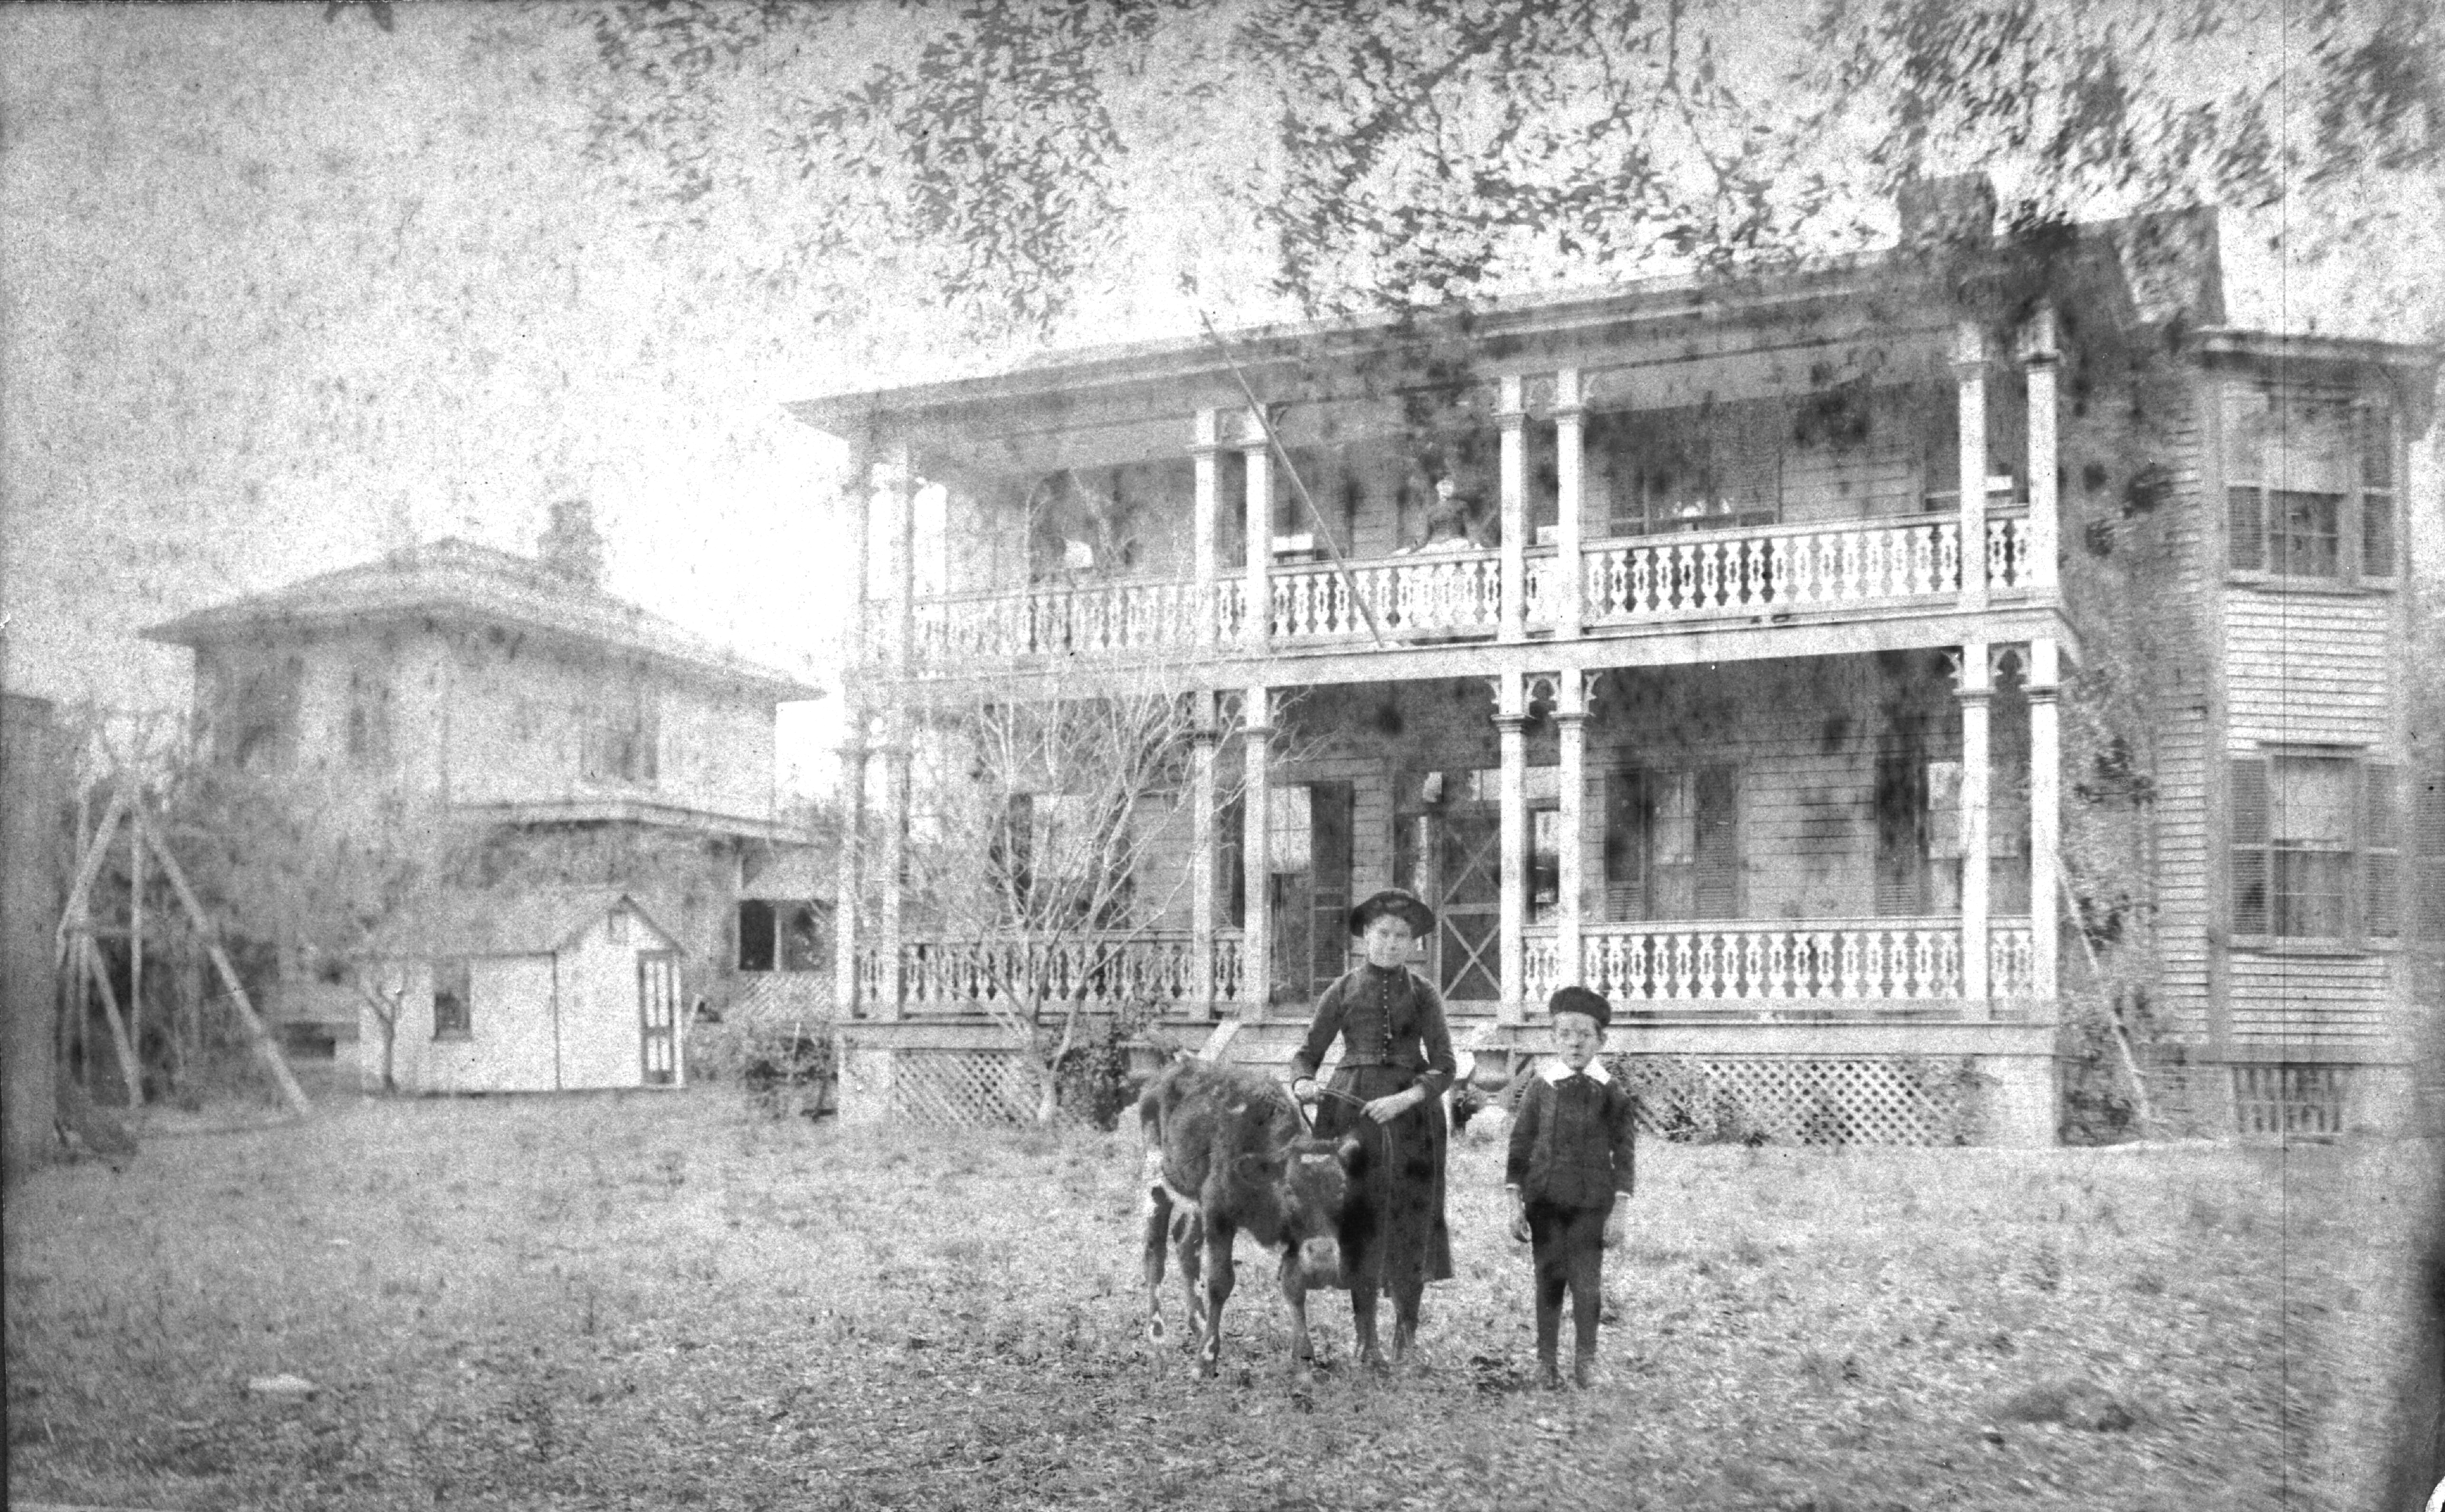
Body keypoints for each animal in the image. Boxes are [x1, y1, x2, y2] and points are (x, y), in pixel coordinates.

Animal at [1138, 1057, 1363, 1377]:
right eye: (1290, 1190)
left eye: (1342, 1189)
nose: (1322, 1256)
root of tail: (1160, 1077)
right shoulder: (1219, 1214)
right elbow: (1220, 1282)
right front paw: (1206, 1360)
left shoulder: (1291, 1236)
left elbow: (1294, 1285)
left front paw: (1304, 1360)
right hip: (1157, 1182)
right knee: (1155, 1252)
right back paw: (1156, 1332)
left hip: (1194, 1201)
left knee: (1185, 1246)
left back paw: (1198, 1323)